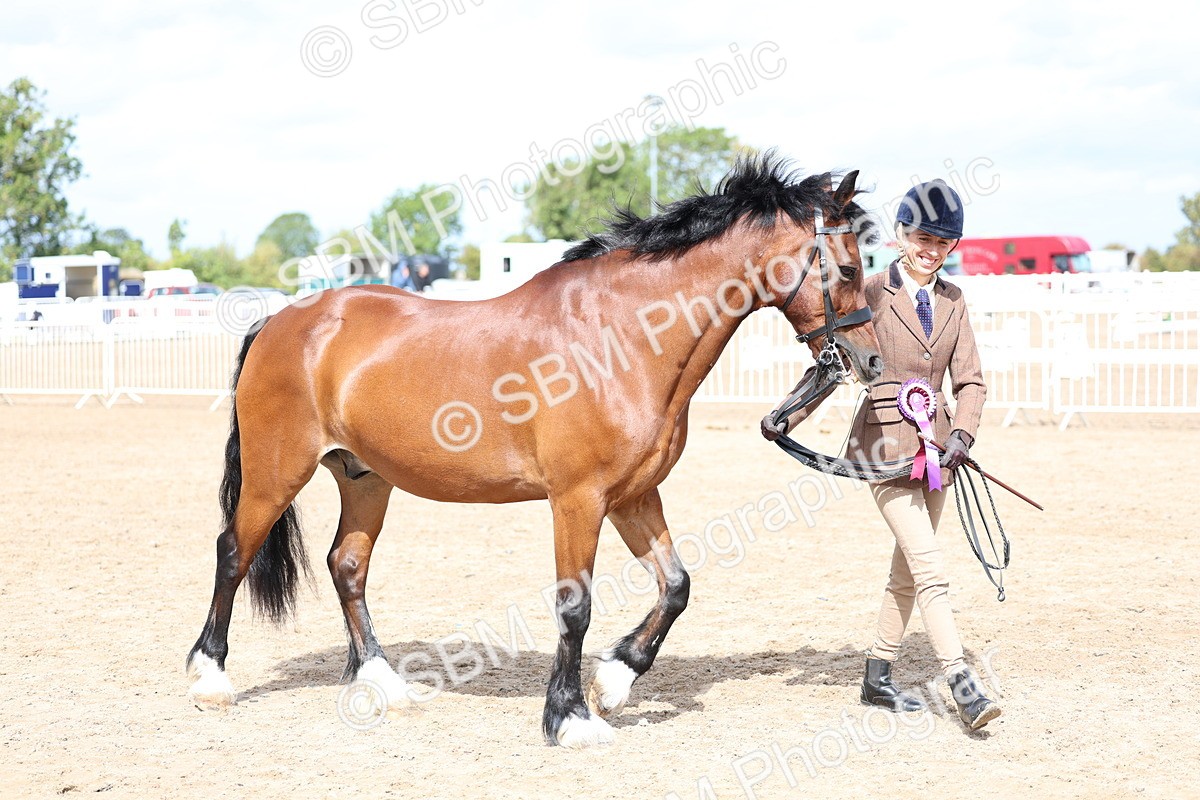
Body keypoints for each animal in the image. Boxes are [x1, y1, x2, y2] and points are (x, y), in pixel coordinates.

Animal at [185, 154, 884, 748]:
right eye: (850, 269)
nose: (871, 360)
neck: (622, 337)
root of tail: (279, 320)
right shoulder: (577, 500)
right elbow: (575, 607)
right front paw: (569, 717)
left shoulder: (633, 495)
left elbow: (677, 585)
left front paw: (614, 682)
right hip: (278, 472)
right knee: (232, 552)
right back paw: (210, 678)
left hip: (365, 478)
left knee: (347, 566)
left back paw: (384, 682)